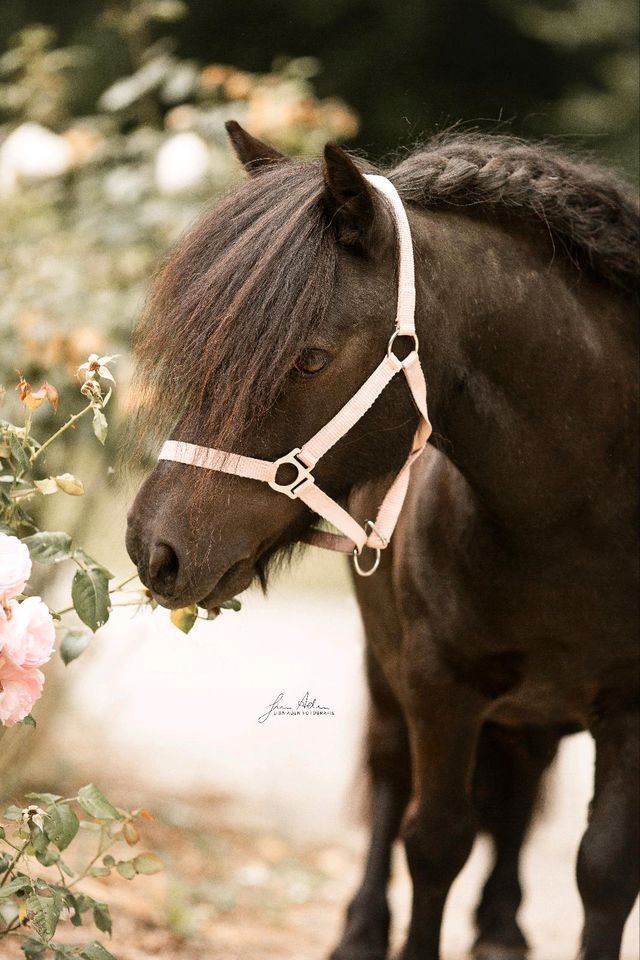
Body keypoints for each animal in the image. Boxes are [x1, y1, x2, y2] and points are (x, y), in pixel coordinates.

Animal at [126, 125, 640, 960]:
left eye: (308, 357)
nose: (153, 548)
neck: (578, 526)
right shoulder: (436, 683)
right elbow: (432, 839)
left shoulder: (629, 705)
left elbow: (605, 870)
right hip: (387, 667)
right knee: (392, 777)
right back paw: (365, 929)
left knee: (520, 786)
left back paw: (502, 926)